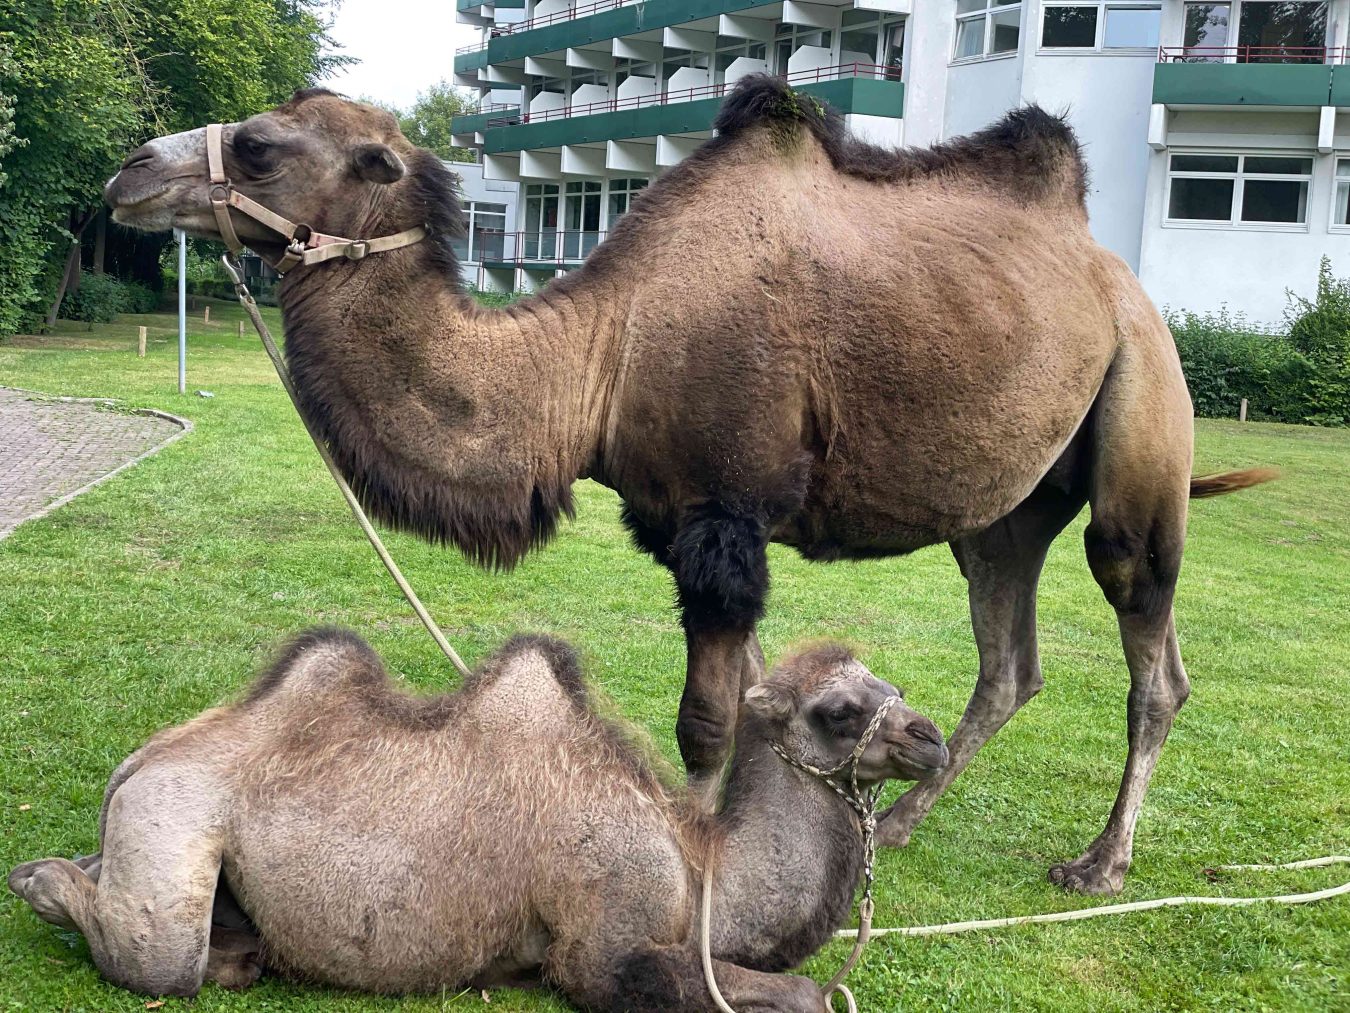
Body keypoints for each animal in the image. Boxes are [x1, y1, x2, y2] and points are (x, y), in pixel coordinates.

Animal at [7, 634, 950, 1010]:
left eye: (890, 681)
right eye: (837, 710)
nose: (929, 737)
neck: (700, 868)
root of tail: (141, 760)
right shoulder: (600, 951)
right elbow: (796, 993)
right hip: (170, 825)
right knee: (158, 957)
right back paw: (38, 877)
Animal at [108, 75, 1274, 891]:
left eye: (259, 147)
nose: (127, 170)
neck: (600, 358)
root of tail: (1114, 273)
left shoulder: (725, 517)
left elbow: (708, 718)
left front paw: (701, 855)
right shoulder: (677, 522)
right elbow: (754, 694)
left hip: (1142, 401)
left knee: (1147, 640)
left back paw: (1098, 863)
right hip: (1008, 503)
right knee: (1009, 655)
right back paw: (900, 823)